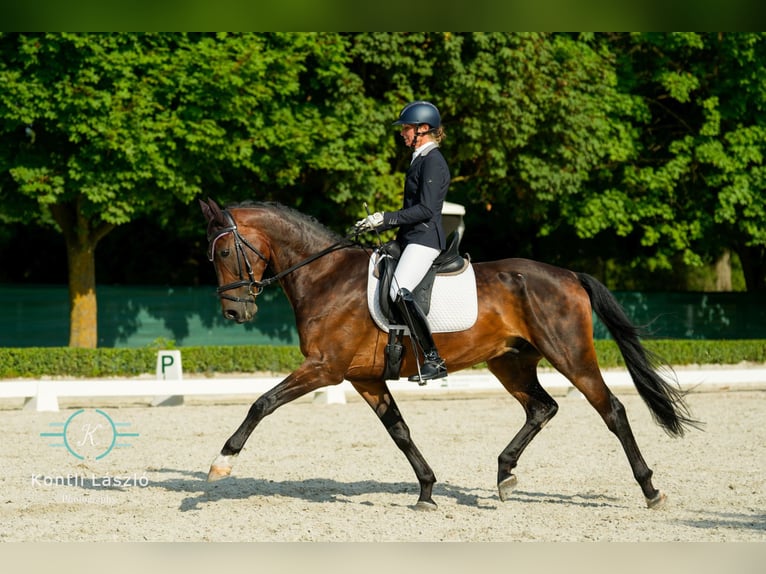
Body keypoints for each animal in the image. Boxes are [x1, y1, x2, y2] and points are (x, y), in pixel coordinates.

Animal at [200, 199, 704, 512]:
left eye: (223, 252)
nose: (234, 311)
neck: (325, 276)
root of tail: (568, 275)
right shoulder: (364, 377)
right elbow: (399, 432)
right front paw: (426, 490)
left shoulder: (325, 368)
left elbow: (262, 403)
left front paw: (221, 463)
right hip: (510, 361)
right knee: (542, 407)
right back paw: (504, 475)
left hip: (570, 355)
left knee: (611, 410)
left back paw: (651, 489)